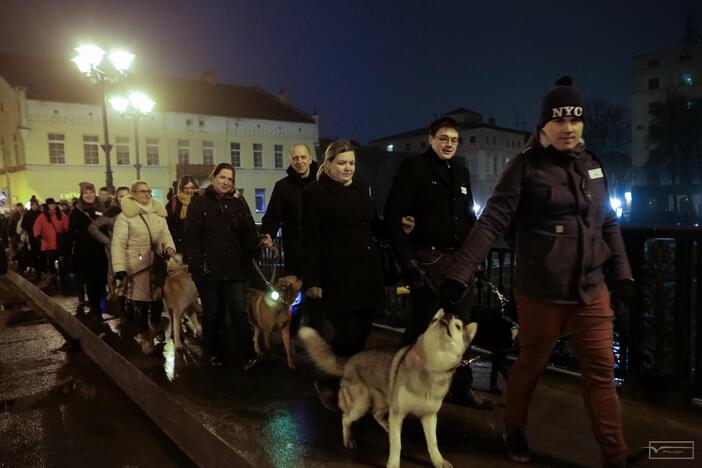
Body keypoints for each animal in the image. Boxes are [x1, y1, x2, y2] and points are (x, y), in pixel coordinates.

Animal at [298, 308, 478, 466]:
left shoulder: (429, 416)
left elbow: (433, 443)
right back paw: (348, 439)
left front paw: (438, 461)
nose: (447, 315)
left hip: (385, 402)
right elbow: (396, 444)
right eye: (435, 319)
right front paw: (393, 464)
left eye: (458, 326)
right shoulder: (398, 413)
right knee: (345, 418)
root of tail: (350, 359)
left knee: (376, 414)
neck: (431, 366)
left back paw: (387, 426)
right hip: (360, 406)